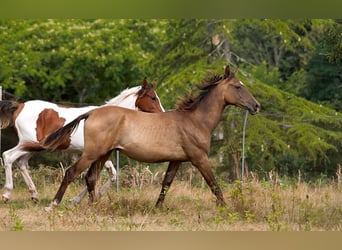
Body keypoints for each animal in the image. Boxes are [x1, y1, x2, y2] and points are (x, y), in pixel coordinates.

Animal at [0, 78, 164, 203]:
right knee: (8, 156)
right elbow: (98, 175)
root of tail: (20, 106)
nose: (162, 113)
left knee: (21, 162)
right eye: (153, 97)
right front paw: (83, 198)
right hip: (31, 144)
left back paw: (34, 195)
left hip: (34, 147)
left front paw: (79, 199)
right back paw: (7, 194)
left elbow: (111, 175)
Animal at [28, 65, 260, 210]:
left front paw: (157, 208)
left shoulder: (177, 160)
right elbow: (214, 184)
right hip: (92, 153)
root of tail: (92, 112)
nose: (256, 106)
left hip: (104, 153)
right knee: (71, 173)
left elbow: (166, 183)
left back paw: (95, 207)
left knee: (90, 178)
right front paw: (225, 208)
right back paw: (53, 205)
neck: (194, 120)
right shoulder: (199, 158)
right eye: (238, 86)